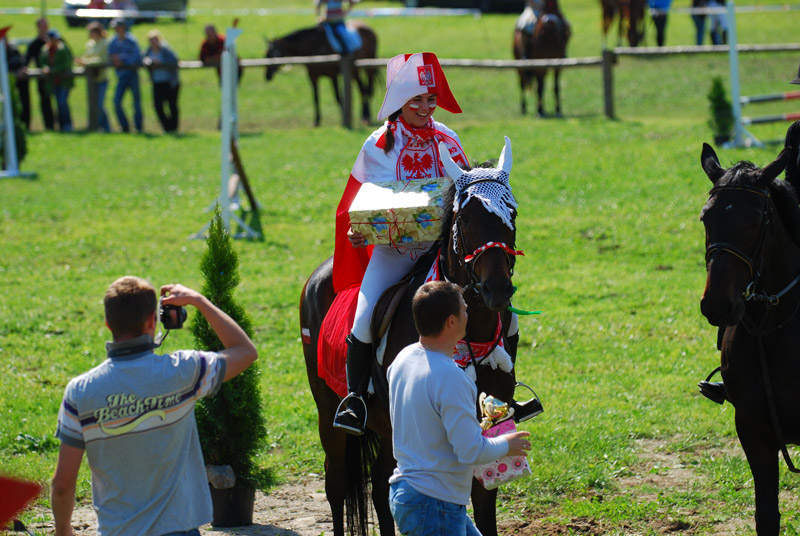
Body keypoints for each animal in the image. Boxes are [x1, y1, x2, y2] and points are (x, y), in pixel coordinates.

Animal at [300, 139, 524, 536]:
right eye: (466, 219)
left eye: (511, 214)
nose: (497, 290)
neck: (467, 334)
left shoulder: (487, 421)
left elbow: (483, 503)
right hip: (330, 413)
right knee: (338, 484)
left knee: (378, 484)